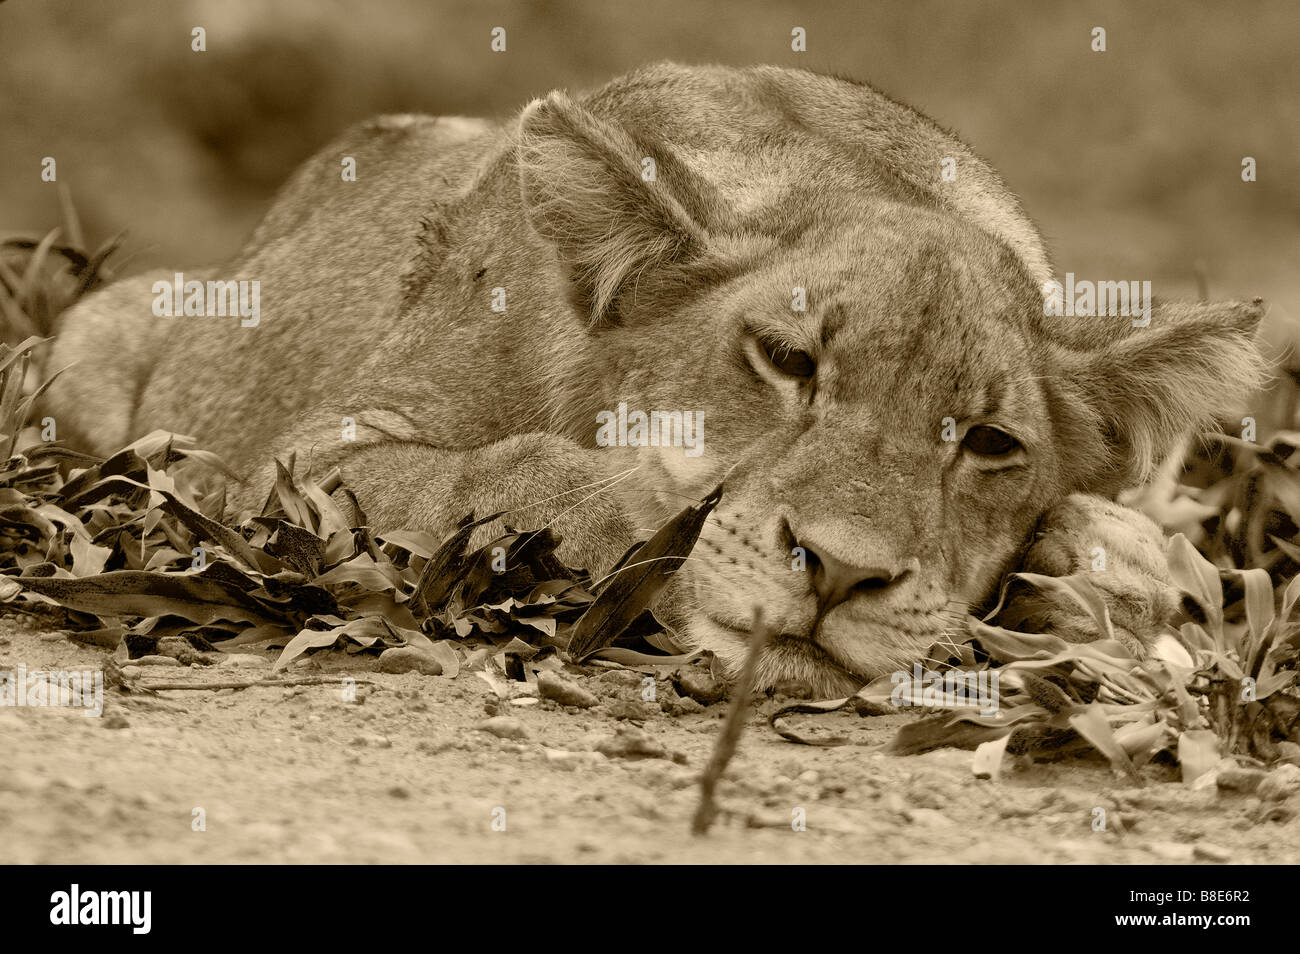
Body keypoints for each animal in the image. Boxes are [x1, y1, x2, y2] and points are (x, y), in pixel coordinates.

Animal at [42, 62, 1265, 695]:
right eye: (787, 360)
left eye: (990, 444)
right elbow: (503, 472)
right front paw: (658, 514)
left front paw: (1103, 578)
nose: (838, 572)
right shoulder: (303, 458)